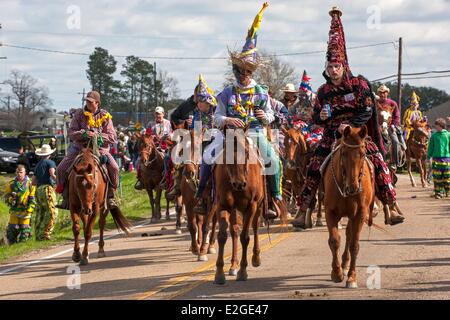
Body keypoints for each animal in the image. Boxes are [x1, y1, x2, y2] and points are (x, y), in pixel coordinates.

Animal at [214, 130, 266, 284]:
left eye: (247, 152)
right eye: (227, 153)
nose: (239, 184)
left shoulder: (251, 206)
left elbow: (245, 237)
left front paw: (243, 271)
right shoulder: (222, 205)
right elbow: (222, 236)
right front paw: (219, 273)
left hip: (258, 206)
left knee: (254, 227)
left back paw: (256, 258)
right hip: (234, 209)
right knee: (234, 230)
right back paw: (233, 265)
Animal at [322, 126, 374, 288]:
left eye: (362, 154)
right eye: (344, 153)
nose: (353, 188)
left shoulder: (360, 213)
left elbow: (354, 245)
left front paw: (352, 277)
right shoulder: (330, 212)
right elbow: (334, 240)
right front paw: (336, 273)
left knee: (350, 235)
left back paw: (346, 265)